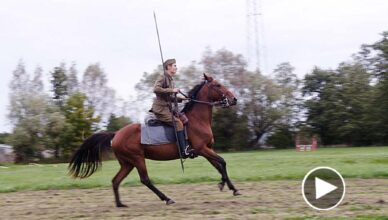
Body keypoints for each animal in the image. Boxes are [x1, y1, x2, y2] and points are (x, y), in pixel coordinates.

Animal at [68, 73, 241, 206]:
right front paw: (223, 184)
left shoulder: (207, 150)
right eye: (218, 85)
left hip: (127, 163)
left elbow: (219, 166)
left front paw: (231, 187)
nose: (234, 99)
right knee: (145, 180)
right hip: (137, 159)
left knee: (115, 181)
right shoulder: (202, 149)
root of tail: (116, 134)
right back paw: (167, 198)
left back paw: (120, 204)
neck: (197, 120)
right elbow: (223, 162)